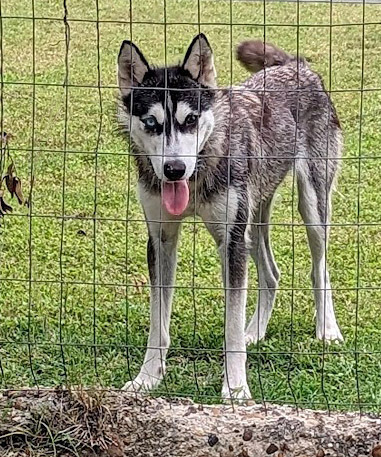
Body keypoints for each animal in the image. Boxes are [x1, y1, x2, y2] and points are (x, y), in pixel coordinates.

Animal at [116, 34, 342, 400]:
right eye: (151, 123)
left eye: (190, 120)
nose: (174, 170)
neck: (198, 175)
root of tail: (296, 65)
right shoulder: (162, 241)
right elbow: (158, 323)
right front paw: (147, 377)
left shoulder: (231, 242)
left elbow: (231, 325)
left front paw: (235, 387)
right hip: (254, 221)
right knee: (272, 274)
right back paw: (256, 331)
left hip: (312, 208)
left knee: (319, 269)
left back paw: (328, 329)